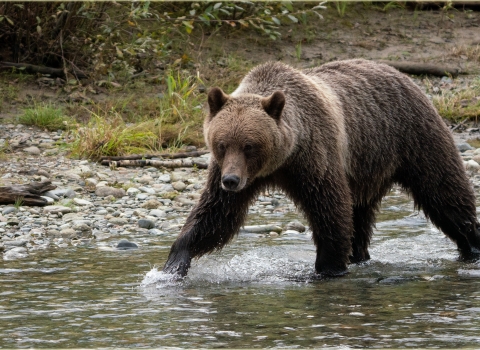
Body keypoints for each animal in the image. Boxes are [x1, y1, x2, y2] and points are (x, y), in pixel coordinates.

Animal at [162, 60, 480, 278]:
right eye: (222, 143)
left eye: (249, 145)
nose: (230, 180)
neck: (281, 160)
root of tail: (401, 74)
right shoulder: (235, 174)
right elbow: (216, 215)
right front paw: (174, 263)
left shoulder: (314, 158)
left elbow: (329, 208)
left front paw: (327, 267)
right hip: (366, 166)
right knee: (360, 213)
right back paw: (360, 255)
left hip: (413, 137)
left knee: (444, 191)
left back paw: (472, 245)